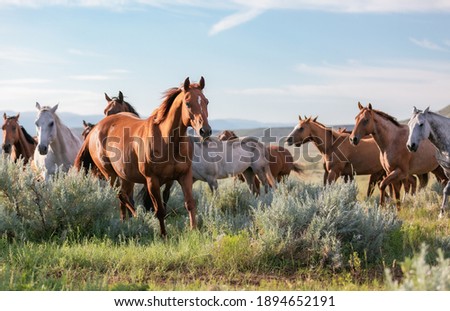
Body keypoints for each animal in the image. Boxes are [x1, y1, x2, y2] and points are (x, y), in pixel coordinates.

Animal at [74, 77, 212, 235]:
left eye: (206, 101)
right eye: (187, 103)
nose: (205, 131)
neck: (167, 140)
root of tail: (95, 129)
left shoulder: (184, 176)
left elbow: (189, 203)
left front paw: (194, 231)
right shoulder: (152, 180)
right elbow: (159, 209)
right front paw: (163, 235)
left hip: (125, 176)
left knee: (123, 197)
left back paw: (125, 222)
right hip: (110, 174)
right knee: (121, 195)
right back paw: (139, 219)